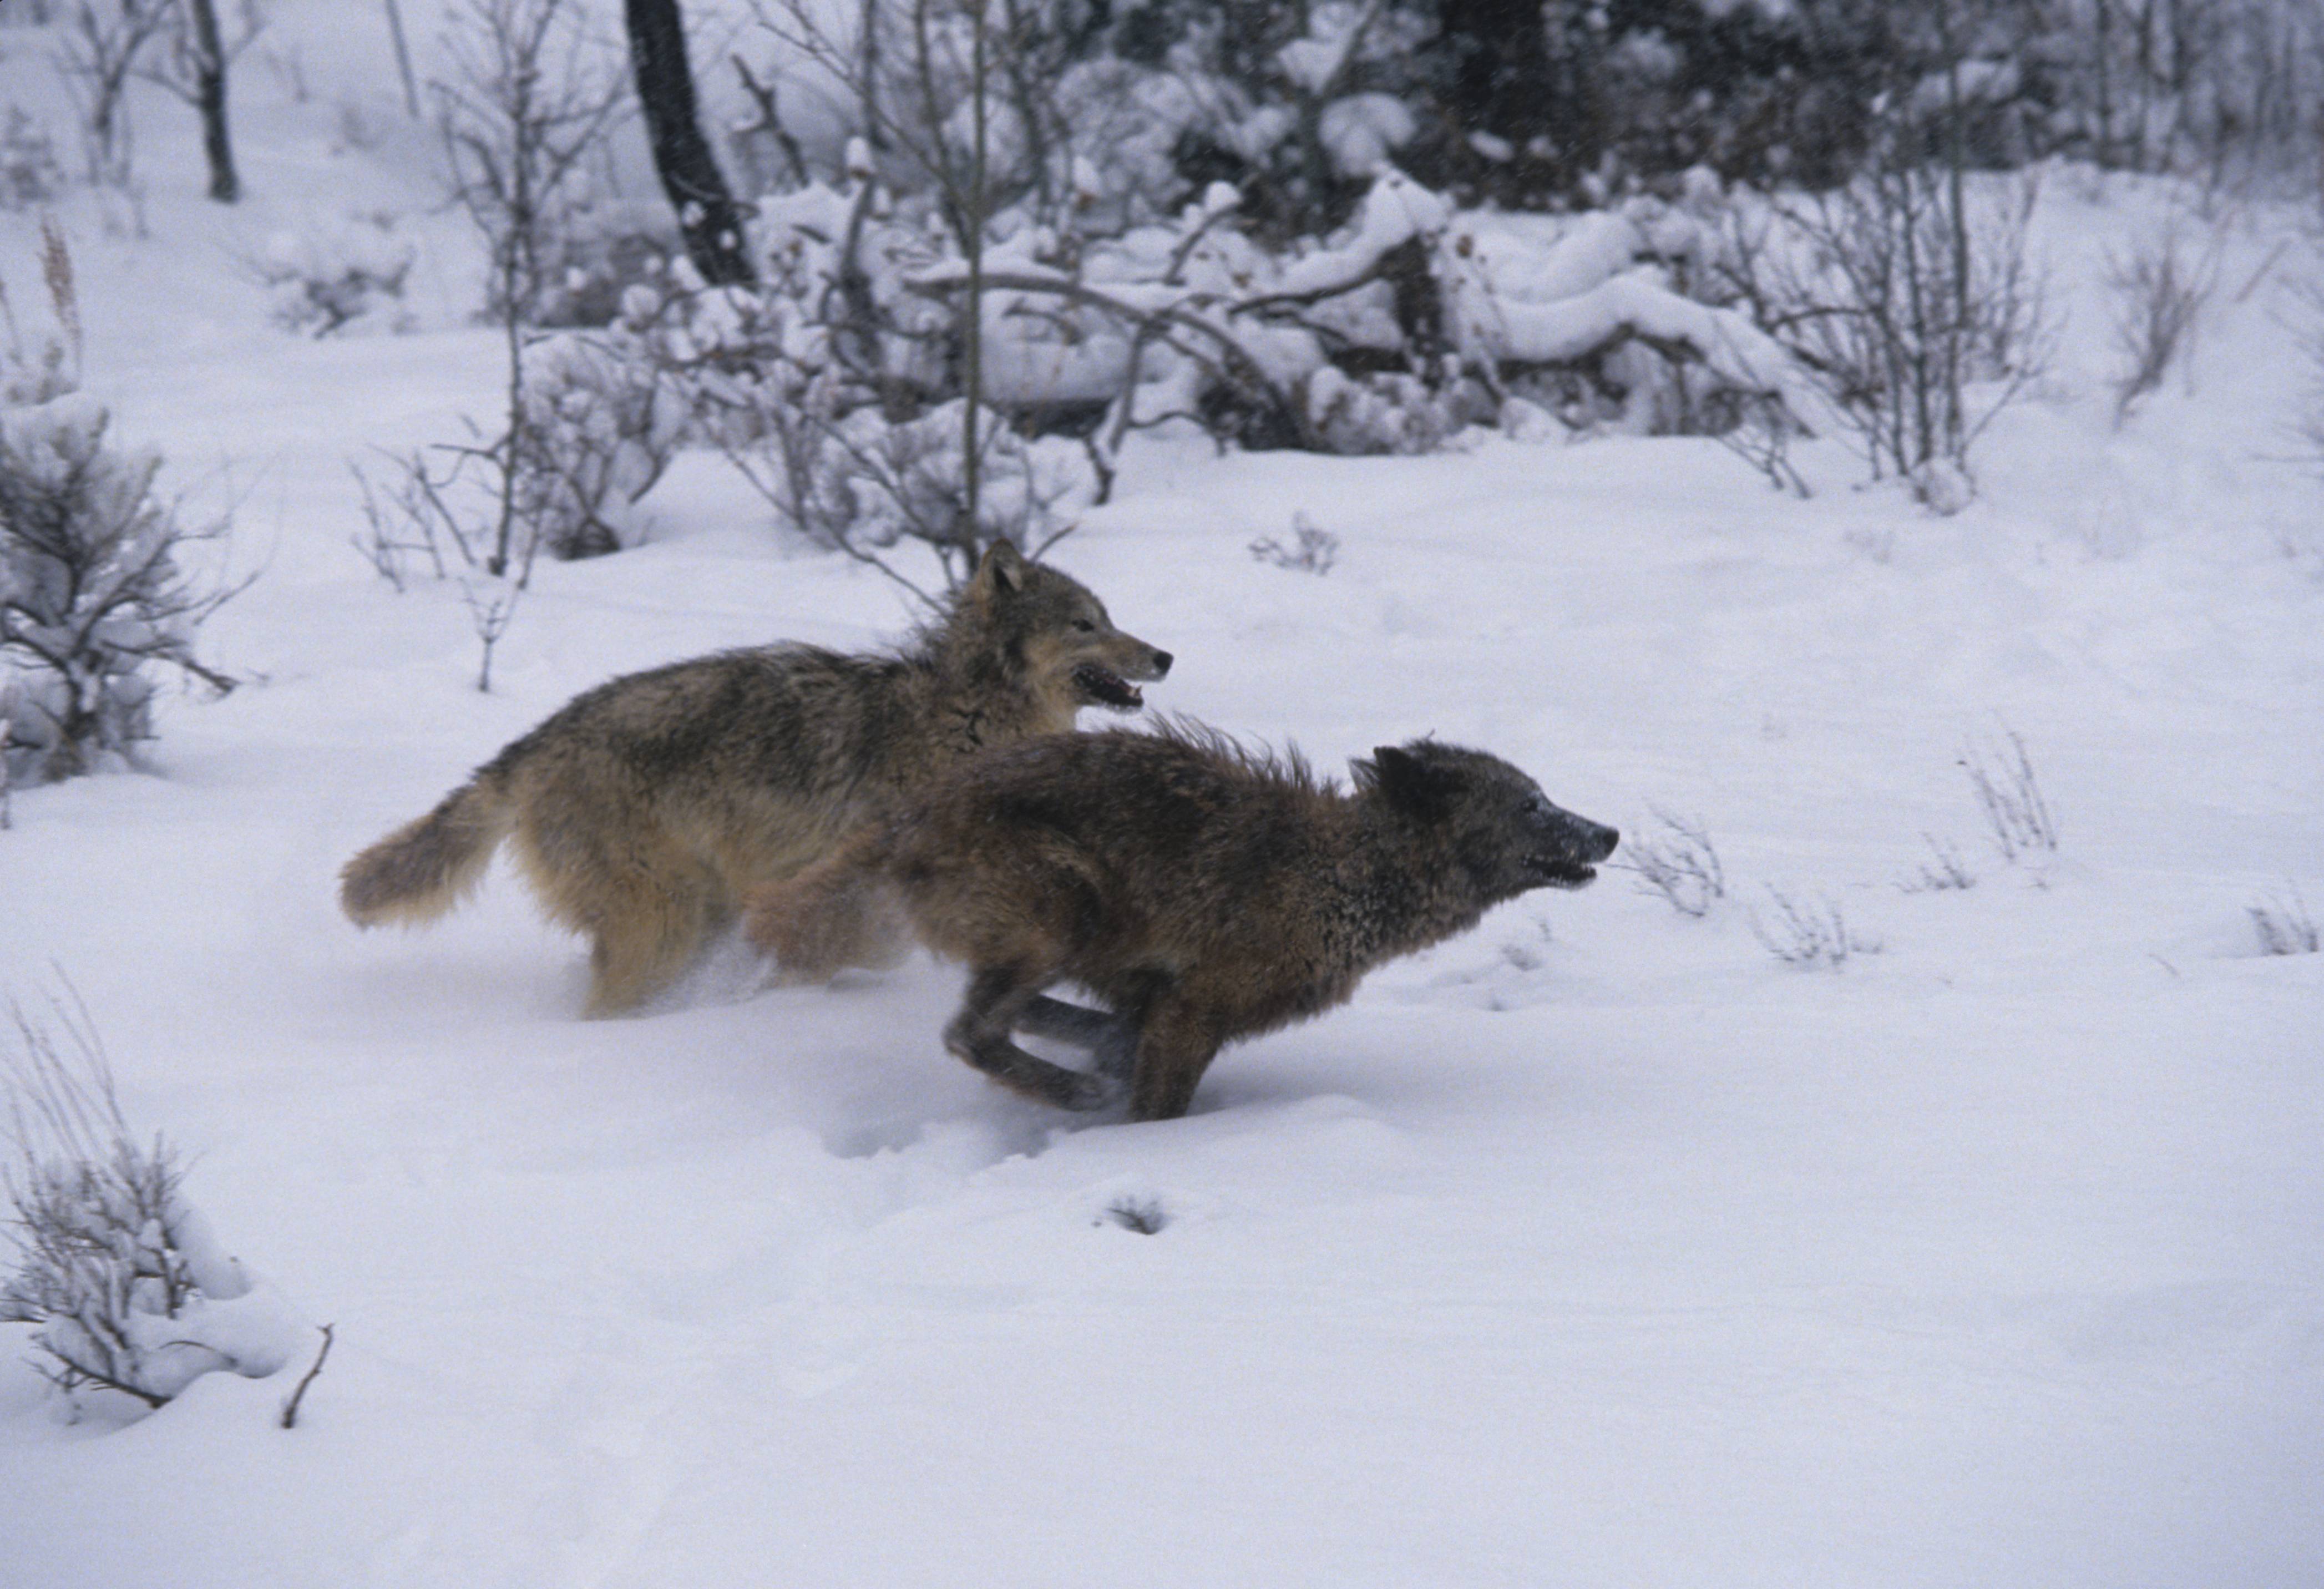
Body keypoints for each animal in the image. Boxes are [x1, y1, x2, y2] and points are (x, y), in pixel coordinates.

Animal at [340, 542, 1172, 1015]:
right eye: (1086, 624)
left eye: (1109, 617)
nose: (1164, 655)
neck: (969, 716)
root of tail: (528, 746)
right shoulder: (860, 875)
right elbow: (860, 943)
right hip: (667, 922)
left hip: (692, 912)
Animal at [746, 722, 1618, 1121]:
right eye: (1529, 805)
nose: (1609, 833)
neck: (1345, 875)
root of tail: (903, 821)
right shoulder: (1193, 1010)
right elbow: (1157, 1108)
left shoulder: (1163, 1005)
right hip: (1062, 907)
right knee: (971, 1032)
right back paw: (1073, 1092)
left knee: (1013, 1017)